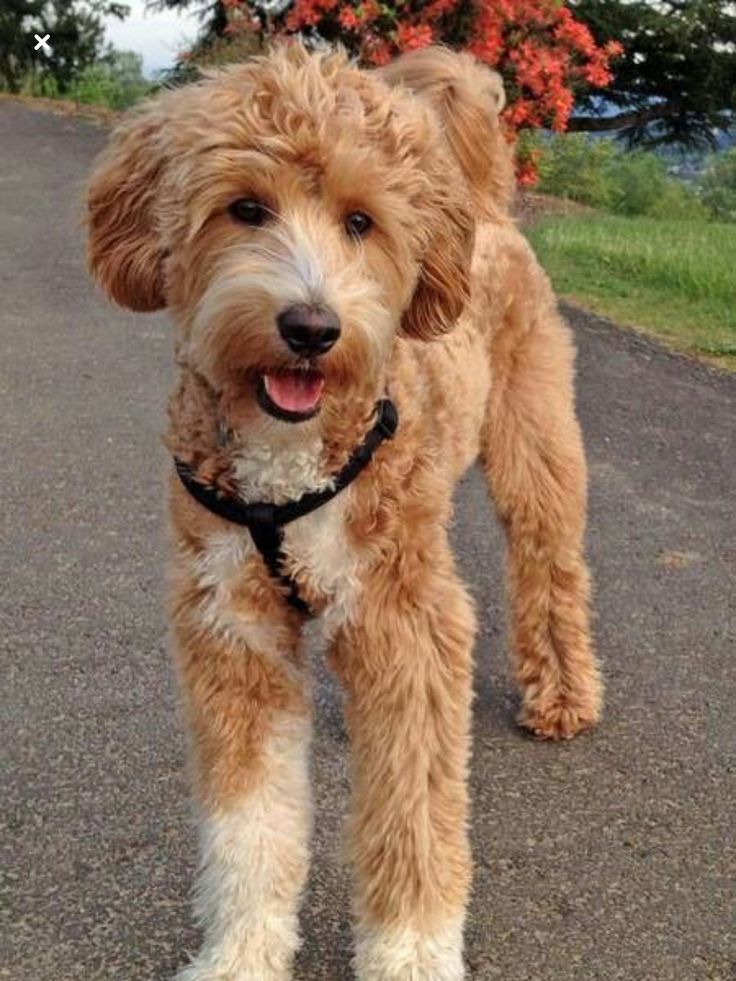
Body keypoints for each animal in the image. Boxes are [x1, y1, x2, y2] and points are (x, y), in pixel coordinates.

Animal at [87, 42, 604, 980]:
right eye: (245, 209)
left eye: (361, 221)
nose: (311, 326)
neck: (288, 465)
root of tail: (484, 210)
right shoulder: (232, 627)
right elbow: (249, 823)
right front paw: (241, 950)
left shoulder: (406, 620)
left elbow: (412, 817)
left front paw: (410, 953)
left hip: (537, 439)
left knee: (550, 564)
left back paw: (563, 696)